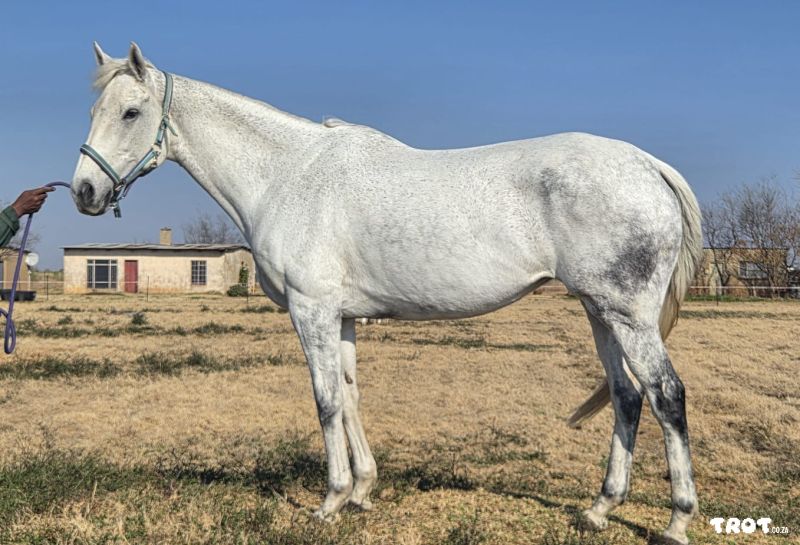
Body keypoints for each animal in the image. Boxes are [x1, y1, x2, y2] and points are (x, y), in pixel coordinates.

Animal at [71, 42, 703, 545]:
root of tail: (647, 165)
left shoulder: (312, 310)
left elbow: (326, 400)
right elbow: (351, 395)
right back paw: (599, 510)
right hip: (600, 310)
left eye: (131, 112)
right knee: (627, 396)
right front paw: (362, 492)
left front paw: (330, 501)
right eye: (96, 110)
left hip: (628, 314)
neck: (287, 176)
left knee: (665, 394)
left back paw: (676, 521)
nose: (84, 191)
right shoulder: (344, 318)